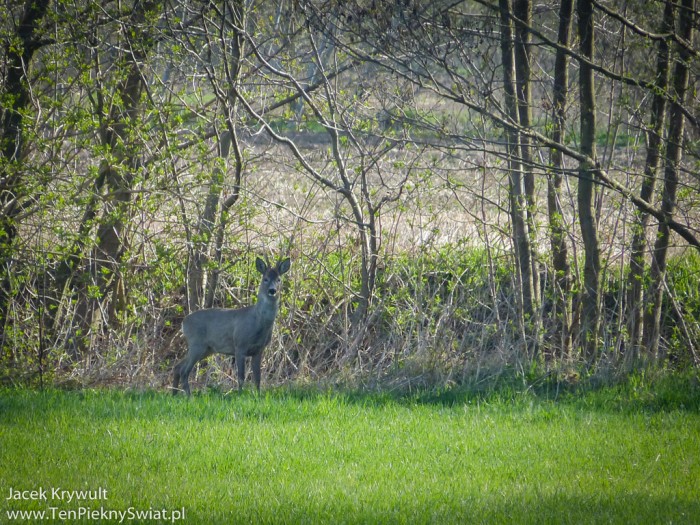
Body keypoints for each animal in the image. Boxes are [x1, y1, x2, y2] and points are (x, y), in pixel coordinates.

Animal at [174, 256, 292, 396]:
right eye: (265, 279)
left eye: (279, 279)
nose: (272, 290)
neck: (257, 321)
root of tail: (184, 322)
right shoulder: (240, 345)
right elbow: (241, 376)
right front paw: (240, 395)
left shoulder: (259, 349)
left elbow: (258, 377)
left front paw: (258, 395)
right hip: (196, 344)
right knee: (184, 370)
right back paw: (189, 396)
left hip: (206, 349)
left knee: (177, 366)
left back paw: (174, 394)